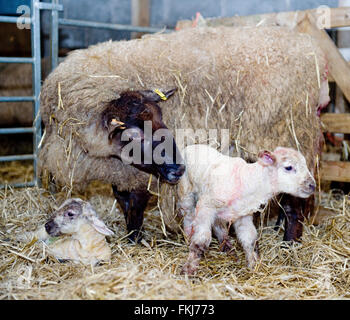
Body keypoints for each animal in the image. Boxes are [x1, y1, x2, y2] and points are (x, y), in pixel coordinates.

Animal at [39, 26, 330, 242]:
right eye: (133, 134)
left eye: (162, 118)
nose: (179, 169)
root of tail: (311, 52)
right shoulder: (122, 171)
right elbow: (123, 201)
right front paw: (132, 235)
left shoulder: (142, 175)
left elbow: (136, 205)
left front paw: (135, 239)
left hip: (289, 133)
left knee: (294, 197)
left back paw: (290, 241)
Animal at [179, 144, 316, 274]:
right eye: (288, 167)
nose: (312, 185)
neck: (248, 181)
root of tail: (191, 146)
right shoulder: (206, 206)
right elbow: (201, 240)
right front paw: (189, 269)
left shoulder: (242, 215)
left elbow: (250, 239)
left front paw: (253, 265)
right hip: (185, 192)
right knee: (188, 216)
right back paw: (188, 237)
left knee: (219, 225)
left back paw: (228, 248)